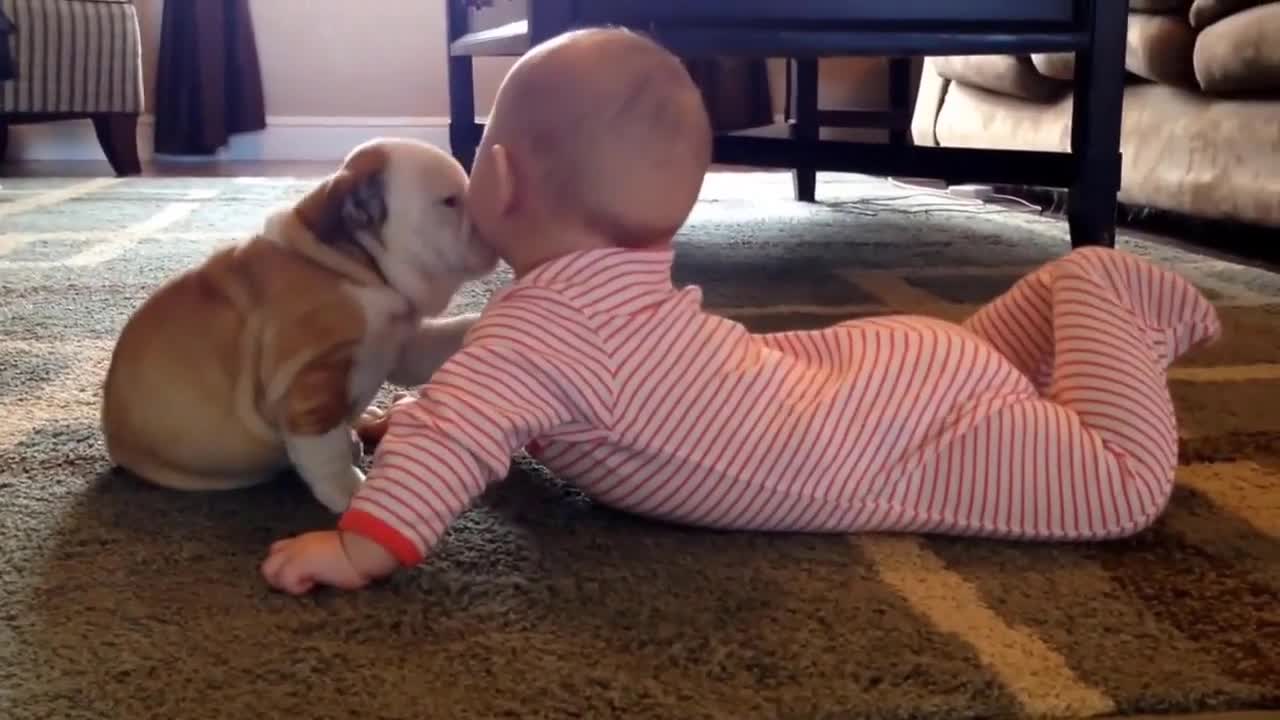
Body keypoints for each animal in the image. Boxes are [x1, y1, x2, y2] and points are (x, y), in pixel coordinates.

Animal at [101, 137, 494, 509]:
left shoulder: (401, 344)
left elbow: (441, 340)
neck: (352, 265)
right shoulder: (310, 380)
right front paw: (349, 491)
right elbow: (325, 448)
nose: (483, 207)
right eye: (450, 202)